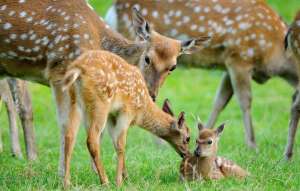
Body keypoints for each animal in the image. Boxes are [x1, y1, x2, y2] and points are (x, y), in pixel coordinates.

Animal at [54, 50, 191, 187]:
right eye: (187, 138)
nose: (187, 154)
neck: (143, 108)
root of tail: (78, 68)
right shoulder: (127, 112)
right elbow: (121, 145)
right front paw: (119, 181)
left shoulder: (112, 116)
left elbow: (115, 143)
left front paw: (126, 178)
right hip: (100, 103)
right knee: (91, 140)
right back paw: (105, 181)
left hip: (75, 101)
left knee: (69, 136)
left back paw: (67, 183)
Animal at [107, 0, 298, 149]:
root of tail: (112, 10)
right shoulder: (239, 58)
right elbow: (245, 101)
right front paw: (252, 146)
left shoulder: (228, 65)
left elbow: (220, 101)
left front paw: (207, 135)